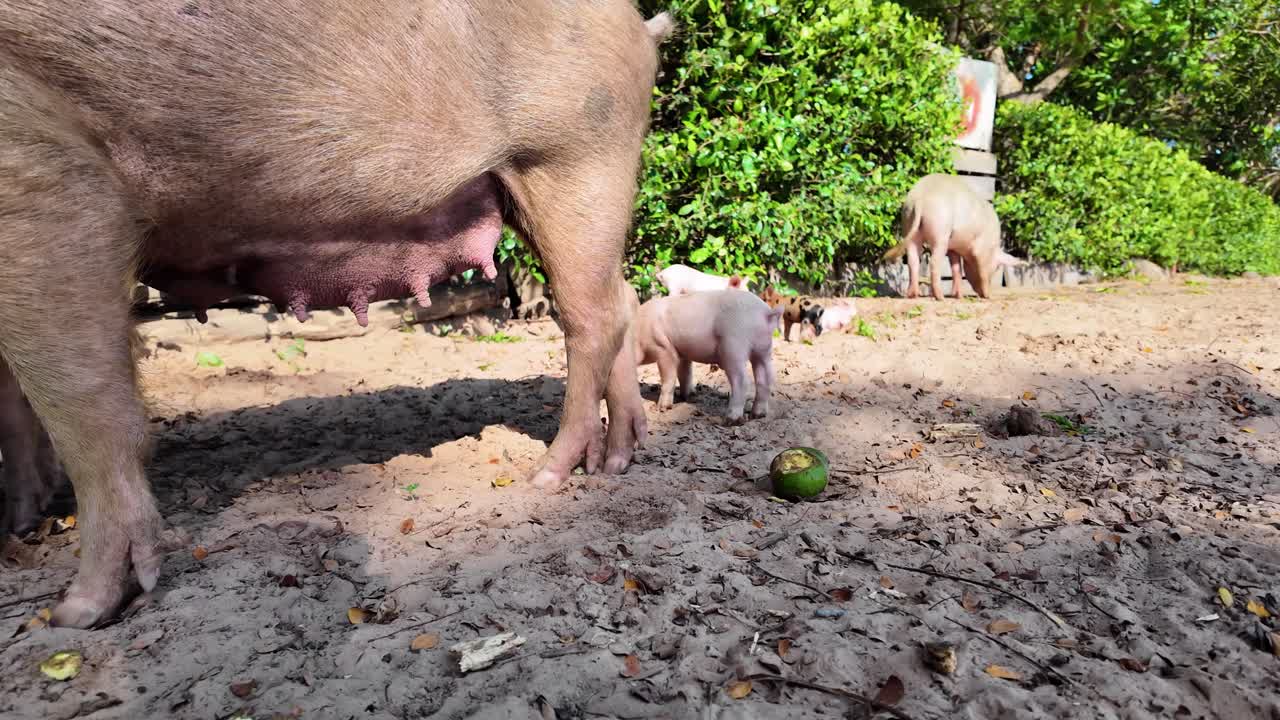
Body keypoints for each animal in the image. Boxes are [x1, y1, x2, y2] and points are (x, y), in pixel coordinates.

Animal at [0, 1, 672, 628]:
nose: (62, 610)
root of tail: (640, 26)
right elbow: (21, 401)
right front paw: (24, 522)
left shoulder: (45, 168)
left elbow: (84, 407)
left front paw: (74, 615)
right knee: (618, 300)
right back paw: (618, 457)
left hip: (574, 156)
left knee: (590, 316)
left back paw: (549, 476)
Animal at [633, 290, 782, 424]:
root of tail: (765, 313)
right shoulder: (683, 352)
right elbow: (685, 374)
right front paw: (689, 397)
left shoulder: (664, 349)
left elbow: (669, 377)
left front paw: (662, 408)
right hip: (763, 350)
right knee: (766, 377)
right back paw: (757, 415)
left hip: (734, 347)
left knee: (742, 380)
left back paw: (731, 420)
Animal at [882, 174, 1025, 300]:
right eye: (996, 268)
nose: (981, 293)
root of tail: (920, 199)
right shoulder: (981, 251)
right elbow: (981, 272)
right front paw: (988, 296)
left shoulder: (953, 248)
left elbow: (957, 269)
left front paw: (959, 297)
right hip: (940, 231)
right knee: (934, 262)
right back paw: (940, 297)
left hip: (908, 223)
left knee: (913, 260)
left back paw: (913, 295)